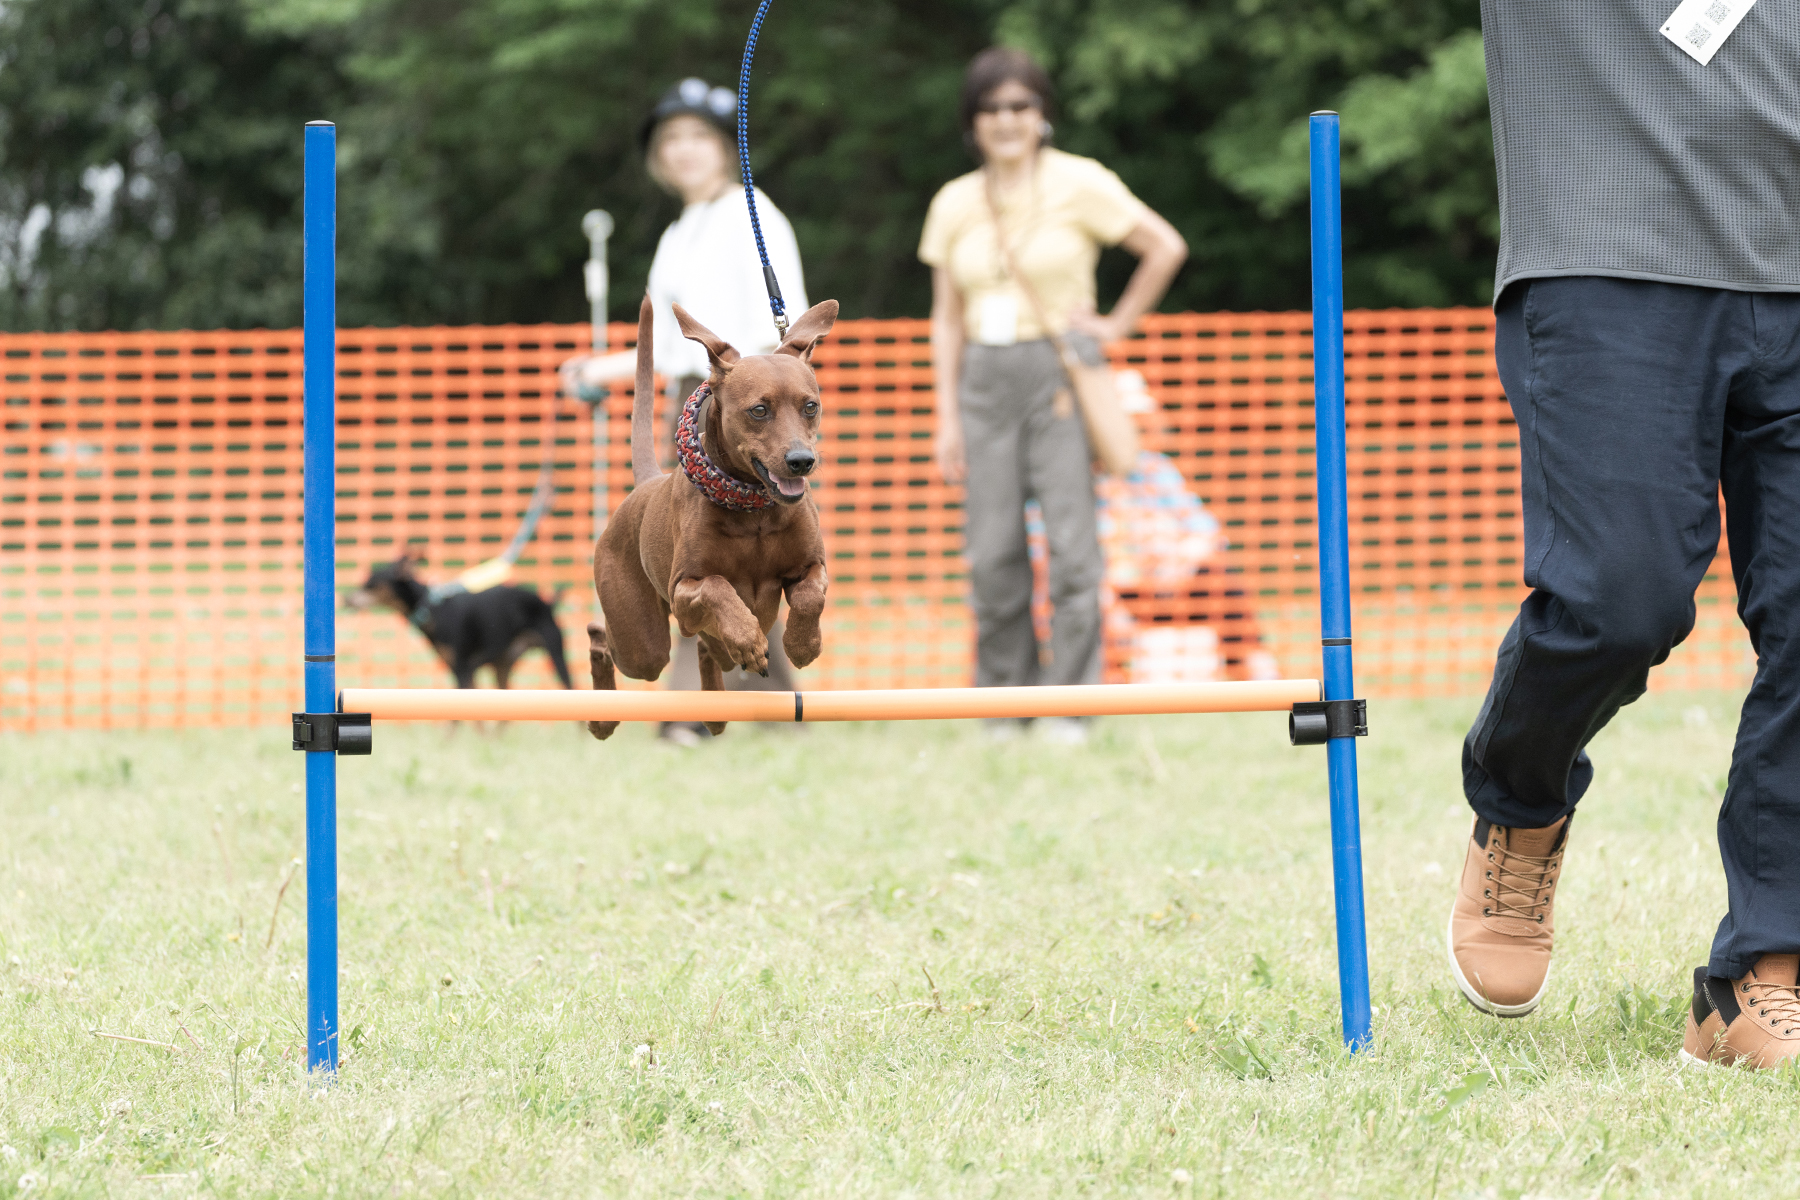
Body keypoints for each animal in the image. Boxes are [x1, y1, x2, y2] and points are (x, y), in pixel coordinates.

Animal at [347, 550, 572, 690]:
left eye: (371, 584)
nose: (346, 599)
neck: (433, 609)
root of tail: (547, 602)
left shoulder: (463, 668)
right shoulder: (456, 668)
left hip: (555, 652)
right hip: (503, 663)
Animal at [590, 295, 842, 737]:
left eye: (811, 406)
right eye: (759, 410)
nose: (802, 461)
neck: (754, 510)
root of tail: (646, 486)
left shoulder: (811, 566)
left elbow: (811, 593)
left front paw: (802, 644)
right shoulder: (683, 589)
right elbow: (718, 587)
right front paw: (749, 637)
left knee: (708, 650)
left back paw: (716, 710)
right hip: (642, 643)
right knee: (605, 638)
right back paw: (603, 718)